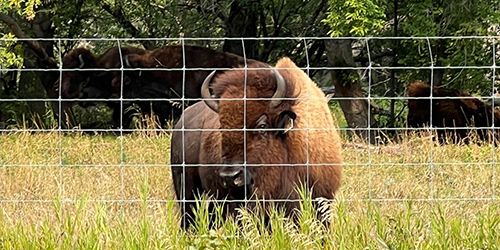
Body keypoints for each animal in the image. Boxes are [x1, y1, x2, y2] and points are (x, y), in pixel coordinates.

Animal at [170, 57, 342, 229]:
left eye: (262, 126)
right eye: (222, 127)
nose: (230, 177)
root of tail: (182, 120)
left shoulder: (322, 201)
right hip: (186, 187)